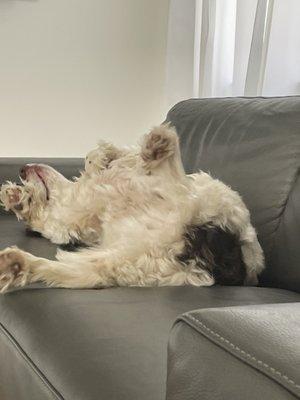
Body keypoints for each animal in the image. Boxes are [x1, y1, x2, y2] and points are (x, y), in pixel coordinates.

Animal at [0, 126, 262, 294]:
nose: (22, 169)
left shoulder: (72, 214)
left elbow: (100, 159)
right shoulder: (69, 218)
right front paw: (19, 198)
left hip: (207, 198)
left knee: (175, 180)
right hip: (127, 261)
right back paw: (15, 266)